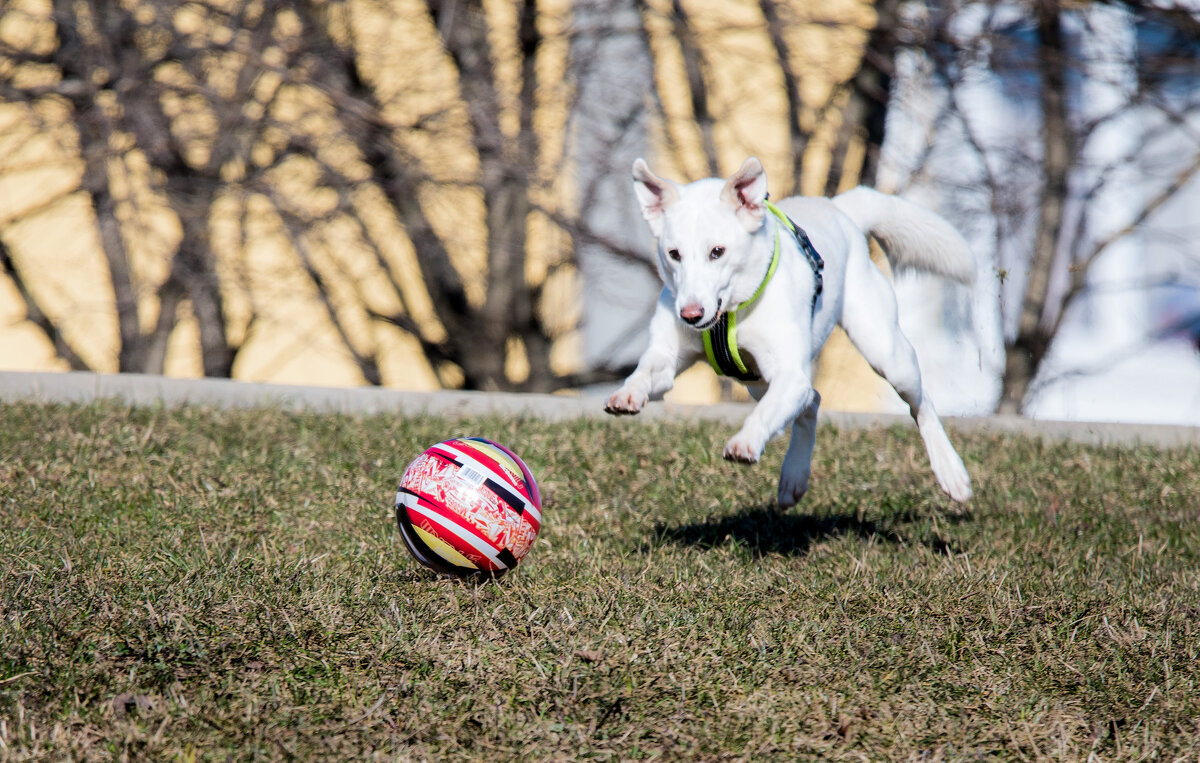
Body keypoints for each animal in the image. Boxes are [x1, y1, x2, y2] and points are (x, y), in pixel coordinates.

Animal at [609, 155, 974, 506]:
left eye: (717, 251)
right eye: (674, 254)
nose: (689, 314)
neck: (729, 315)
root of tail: (839, 209)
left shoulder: (790, 374)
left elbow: (765, 414)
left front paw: (745, 442)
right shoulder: (668, 356)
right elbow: (646, 371)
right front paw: (628, 394)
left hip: (887, 354)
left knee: (921, 404)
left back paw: (951, 473)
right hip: (757, 382)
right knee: (812, 402)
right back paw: (794, 478)